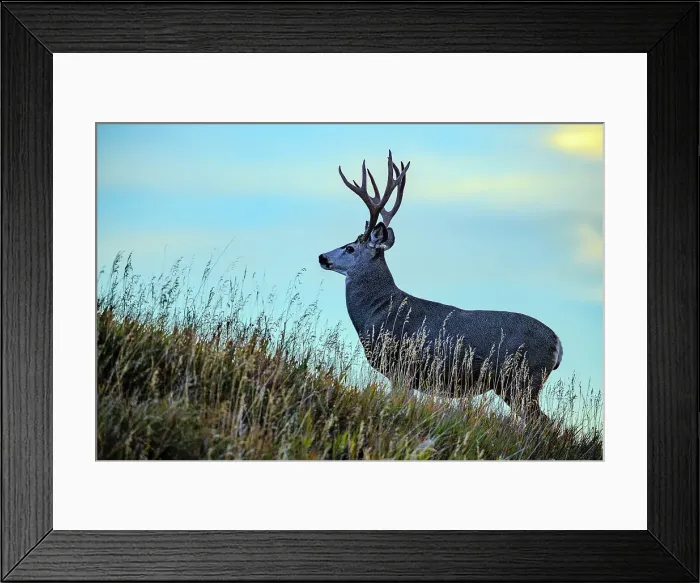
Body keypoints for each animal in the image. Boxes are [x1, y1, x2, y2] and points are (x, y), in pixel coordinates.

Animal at [318, 150, 563, 422]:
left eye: (350, 248)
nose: (322, 257)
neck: (380, 309)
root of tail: (558, 344)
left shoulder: (400, 367)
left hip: (521, 380)